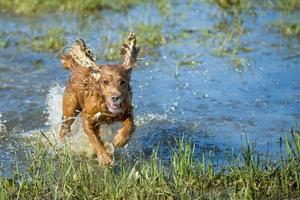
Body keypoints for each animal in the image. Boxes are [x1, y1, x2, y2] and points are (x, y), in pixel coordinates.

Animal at [59, 32, 140, 166]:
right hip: (70, 109)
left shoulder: (127, 109)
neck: (105, 106)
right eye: (105, 82)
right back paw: (61, 144)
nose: (115, 97)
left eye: (122, 82)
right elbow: (95, 139)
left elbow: (130, 124)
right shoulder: (87, 118)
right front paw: (104, 157)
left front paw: (120, 139)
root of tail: (76, 67)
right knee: (64, 128)